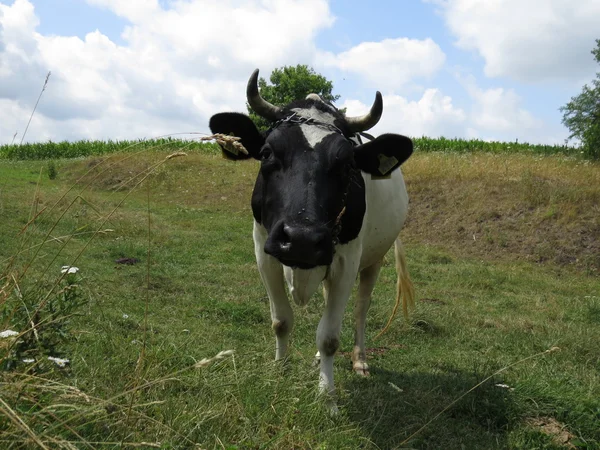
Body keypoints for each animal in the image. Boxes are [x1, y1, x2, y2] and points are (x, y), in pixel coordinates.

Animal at [209, 69, 414, 412]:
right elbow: (281, 321)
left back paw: (359, 360)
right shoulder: (264, 252)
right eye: (266, 153)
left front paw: (327, 395)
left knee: (360, 309)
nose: (302, 238)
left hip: (374, 259)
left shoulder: (346, 261)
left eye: (347, 164)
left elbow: (330, 336)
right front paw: (280, 371)